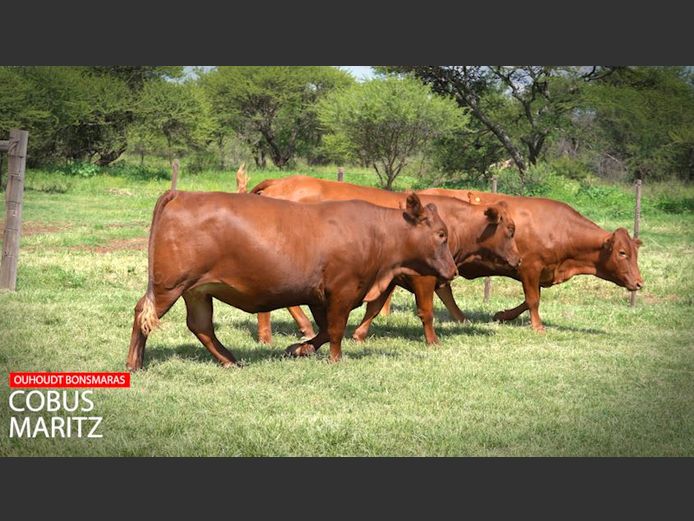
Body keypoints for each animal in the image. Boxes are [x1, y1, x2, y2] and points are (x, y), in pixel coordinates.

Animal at [128, 189, 460, 368]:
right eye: (441, 234)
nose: (453, 271)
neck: (376, 233)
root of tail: (182, 193)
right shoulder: (342, 290)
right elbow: (336, 330)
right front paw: (334, 359)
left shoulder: (319, 295)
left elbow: (324, 330)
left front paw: (299, 349)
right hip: (170, 285)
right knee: (143, 313)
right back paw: (134, 363)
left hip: (197, 290)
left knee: (201, 326)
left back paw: (229, 360)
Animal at [250, 177, 520, 344]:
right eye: (510, 229)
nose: (518, 259)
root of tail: (280, 181)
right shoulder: (424, 276)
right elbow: (427, 309)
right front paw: (433, 340)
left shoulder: (389, 276)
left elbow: (376, 306)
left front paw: (359, 334)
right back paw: (268, 336)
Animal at [418, 189, 648, 332]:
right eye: (622, 253)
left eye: (634, 253)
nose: (639, 283)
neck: (561, 229)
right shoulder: (529, 267)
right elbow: (533, 300)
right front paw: (537, 326)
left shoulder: (542, 271)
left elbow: (530, 300)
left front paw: (502, 315)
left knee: (443, 289)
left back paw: (461, 318)